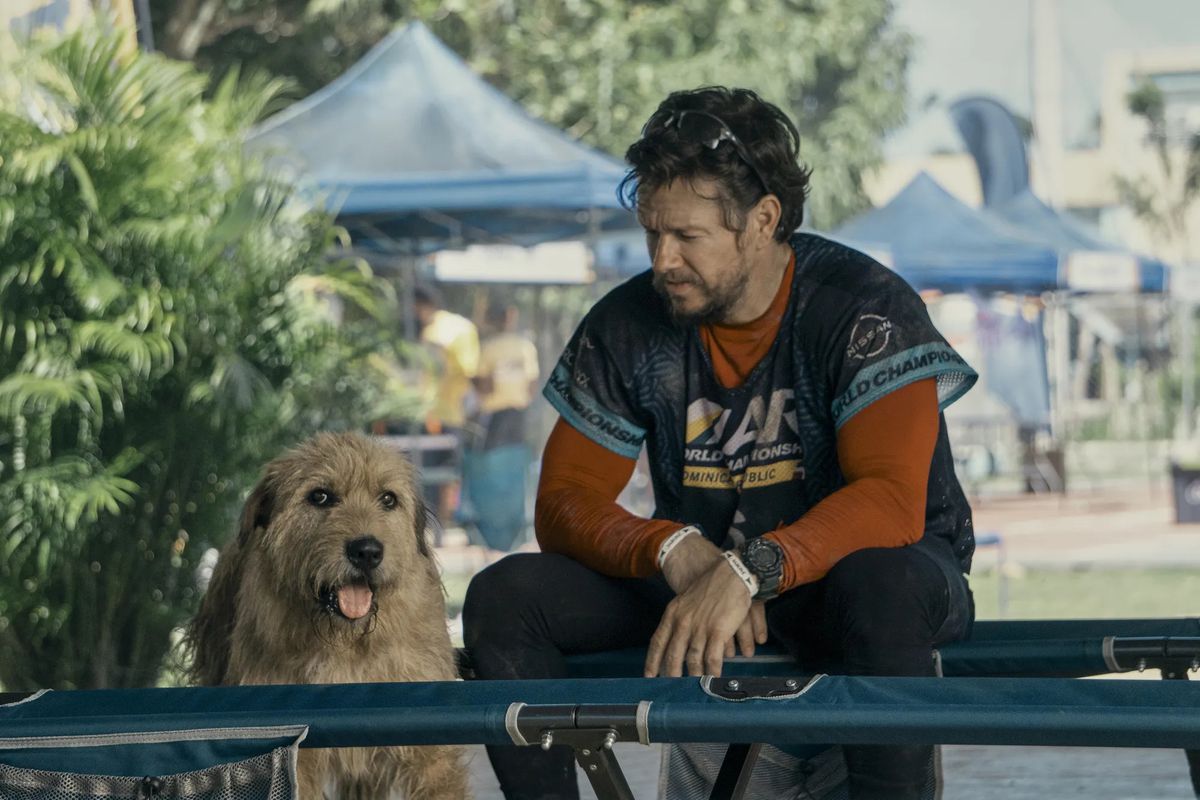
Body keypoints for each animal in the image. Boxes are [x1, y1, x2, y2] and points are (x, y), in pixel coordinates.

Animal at [188, 434, 468, 796]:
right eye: (320, 496)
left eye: (388, 499)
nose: (367, 551)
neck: (347, 643)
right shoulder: (295, 754)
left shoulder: (430, 754)